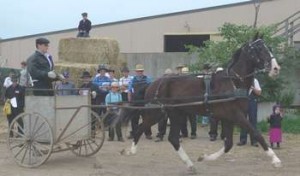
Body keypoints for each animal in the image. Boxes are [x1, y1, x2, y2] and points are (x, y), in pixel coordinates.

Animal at [119, 35, 282, 173]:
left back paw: (190, 165)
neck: (233, 82)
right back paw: (130, 151)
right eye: (259, 49)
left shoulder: (228, 118)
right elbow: (256, 133)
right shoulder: (236, 115)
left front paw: (204, 157)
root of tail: (152, 84)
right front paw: (275, 160)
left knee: (172, 138)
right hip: (157, 113)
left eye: (268, 47)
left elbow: (228, 144)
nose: (276, 69)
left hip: (175, 113)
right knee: (140, 128)